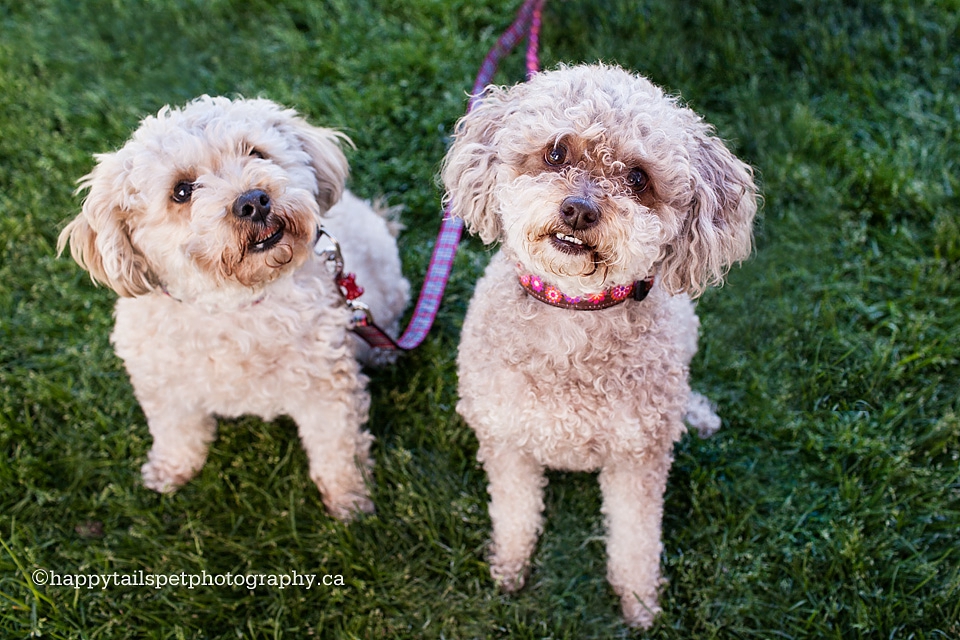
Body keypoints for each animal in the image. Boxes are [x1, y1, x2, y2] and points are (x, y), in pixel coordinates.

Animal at [56, 97, 408, 524]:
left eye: (256, 153)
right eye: (182, 191)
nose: (253, 201)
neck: (232, 304)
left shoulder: (327, 390)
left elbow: (337, 449)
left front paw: (350, 501)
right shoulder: (163, 388)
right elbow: (176, 432)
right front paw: (169, 471)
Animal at [442, 63, 756, 624]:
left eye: (638, 179)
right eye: (555, 153)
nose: (579, 210)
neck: (573, 313)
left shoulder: (637, 460)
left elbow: (636, 537)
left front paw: (640, 602)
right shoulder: (506, 441)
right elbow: (515, 510)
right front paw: (510, 566)